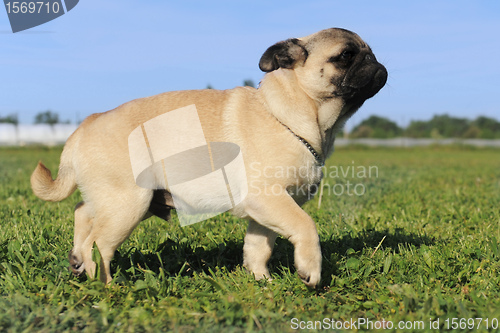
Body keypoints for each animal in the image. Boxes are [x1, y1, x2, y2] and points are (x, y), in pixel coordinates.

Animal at [31, 27, 386, 288]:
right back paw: (105, 284)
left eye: (369, 51)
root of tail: (85, 125)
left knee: (82, 213)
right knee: (100, 242)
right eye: (346, 56)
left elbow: (258, 247)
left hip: (118, 200)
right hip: (127, 204)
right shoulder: (270, 199)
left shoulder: (264, 212)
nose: (377, 63)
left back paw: (78, 263)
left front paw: (261, 281)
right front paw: (309, 269)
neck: (292, 114)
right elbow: (306, 226)